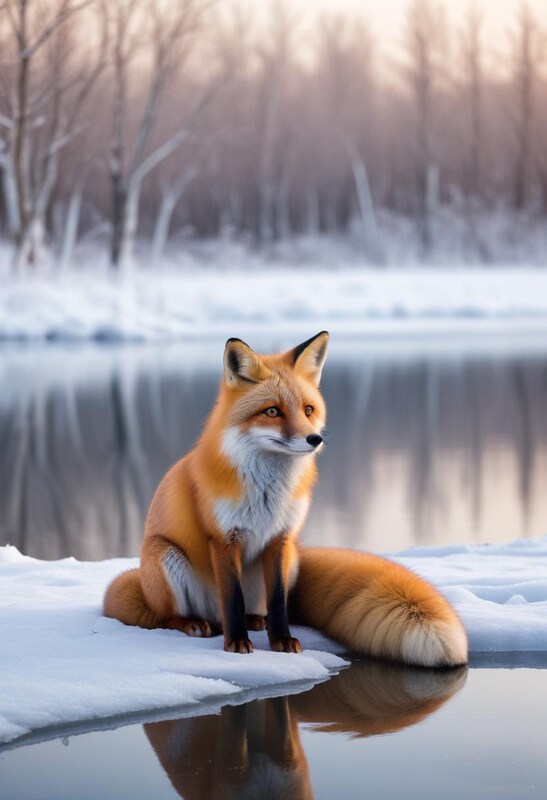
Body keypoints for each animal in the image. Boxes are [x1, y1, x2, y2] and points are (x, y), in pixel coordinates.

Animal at [104, 331, 468, 667]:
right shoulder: (223, 539)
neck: (268, 491)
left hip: (292, 557)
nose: (315, 438)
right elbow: (232, 599)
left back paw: (254, 621)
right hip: (164, 554)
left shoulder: (280, 539)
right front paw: (236, 644)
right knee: (177, 616)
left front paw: (281, 641)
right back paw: (195, 623)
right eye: (273, 411)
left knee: (252, 609)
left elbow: (278, 602)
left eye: (308, 410)